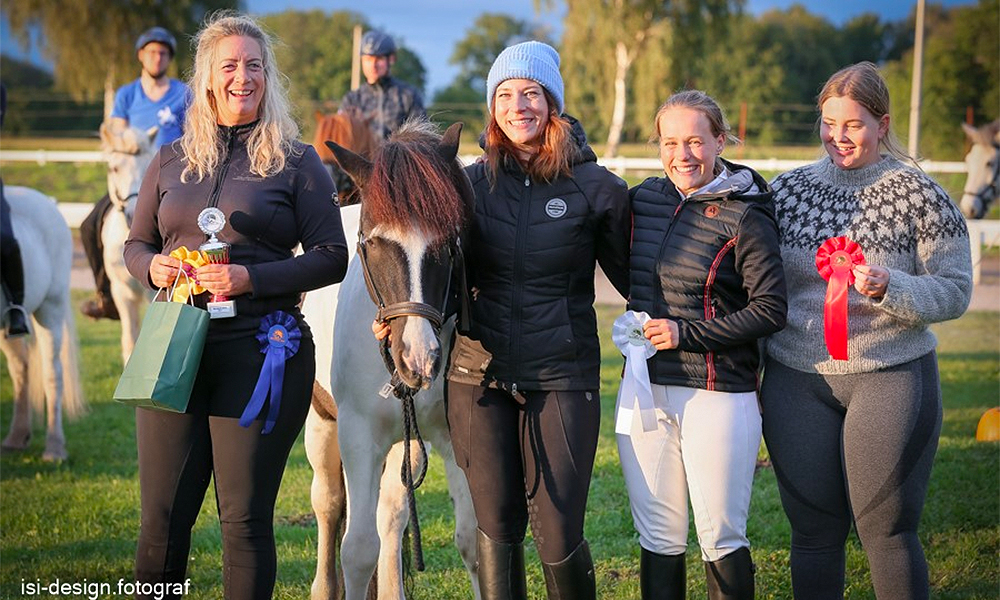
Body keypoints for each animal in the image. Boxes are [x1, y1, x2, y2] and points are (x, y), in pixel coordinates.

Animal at [300, 122, 480, 600]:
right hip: (321, 425)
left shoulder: (452, 438)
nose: (419, 356)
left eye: (449, 242)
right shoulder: (358, 435)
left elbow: (472, 541)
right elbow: (357, 548)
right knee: (328, 505)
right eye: (376, 242)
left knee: (391, 514)